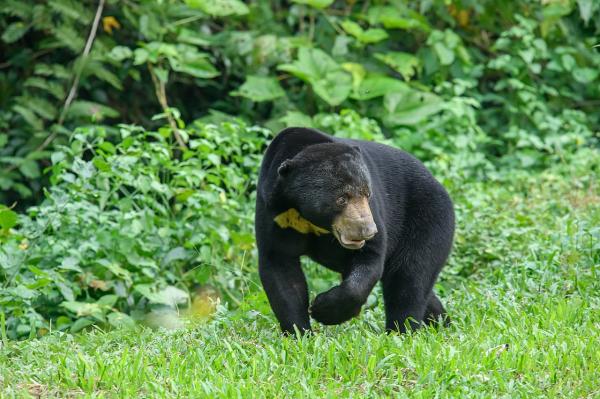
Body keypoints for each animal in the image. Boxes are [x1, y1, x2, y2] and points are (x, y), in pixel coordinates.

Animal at [253, 128, 454, 334]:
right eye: (341, 198)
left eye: (367, 193)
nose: (367, 230)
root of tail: (439, 185)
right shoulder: (274, 212)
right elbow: (281, 269)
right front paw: (299, 332)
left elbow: (370, 258)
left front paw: (322, 309)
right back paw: (441, 323)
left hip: (428, 219)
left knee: (410, 278)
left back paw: (402, 330)